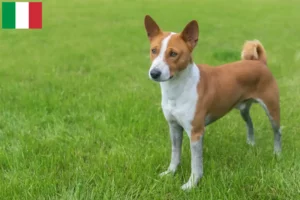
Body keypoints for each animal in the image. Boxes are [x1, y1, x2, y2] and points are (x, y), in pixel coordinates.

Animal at [143, 14, 282, 190]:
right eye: (153, 50)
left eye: (173, 53)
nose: (154, 73)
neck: (176, 90)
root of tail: (260, 62)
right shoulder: (174, 126)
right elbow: (175, 154)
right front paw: (170, 173)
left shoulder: (196, 132)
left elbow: (196, 164)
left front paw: (191, 184)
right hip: (243, 109)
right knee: (250, 123)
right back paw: (250, 144)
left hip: (272, 109)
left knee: (277, 132)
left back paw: (277, 154)